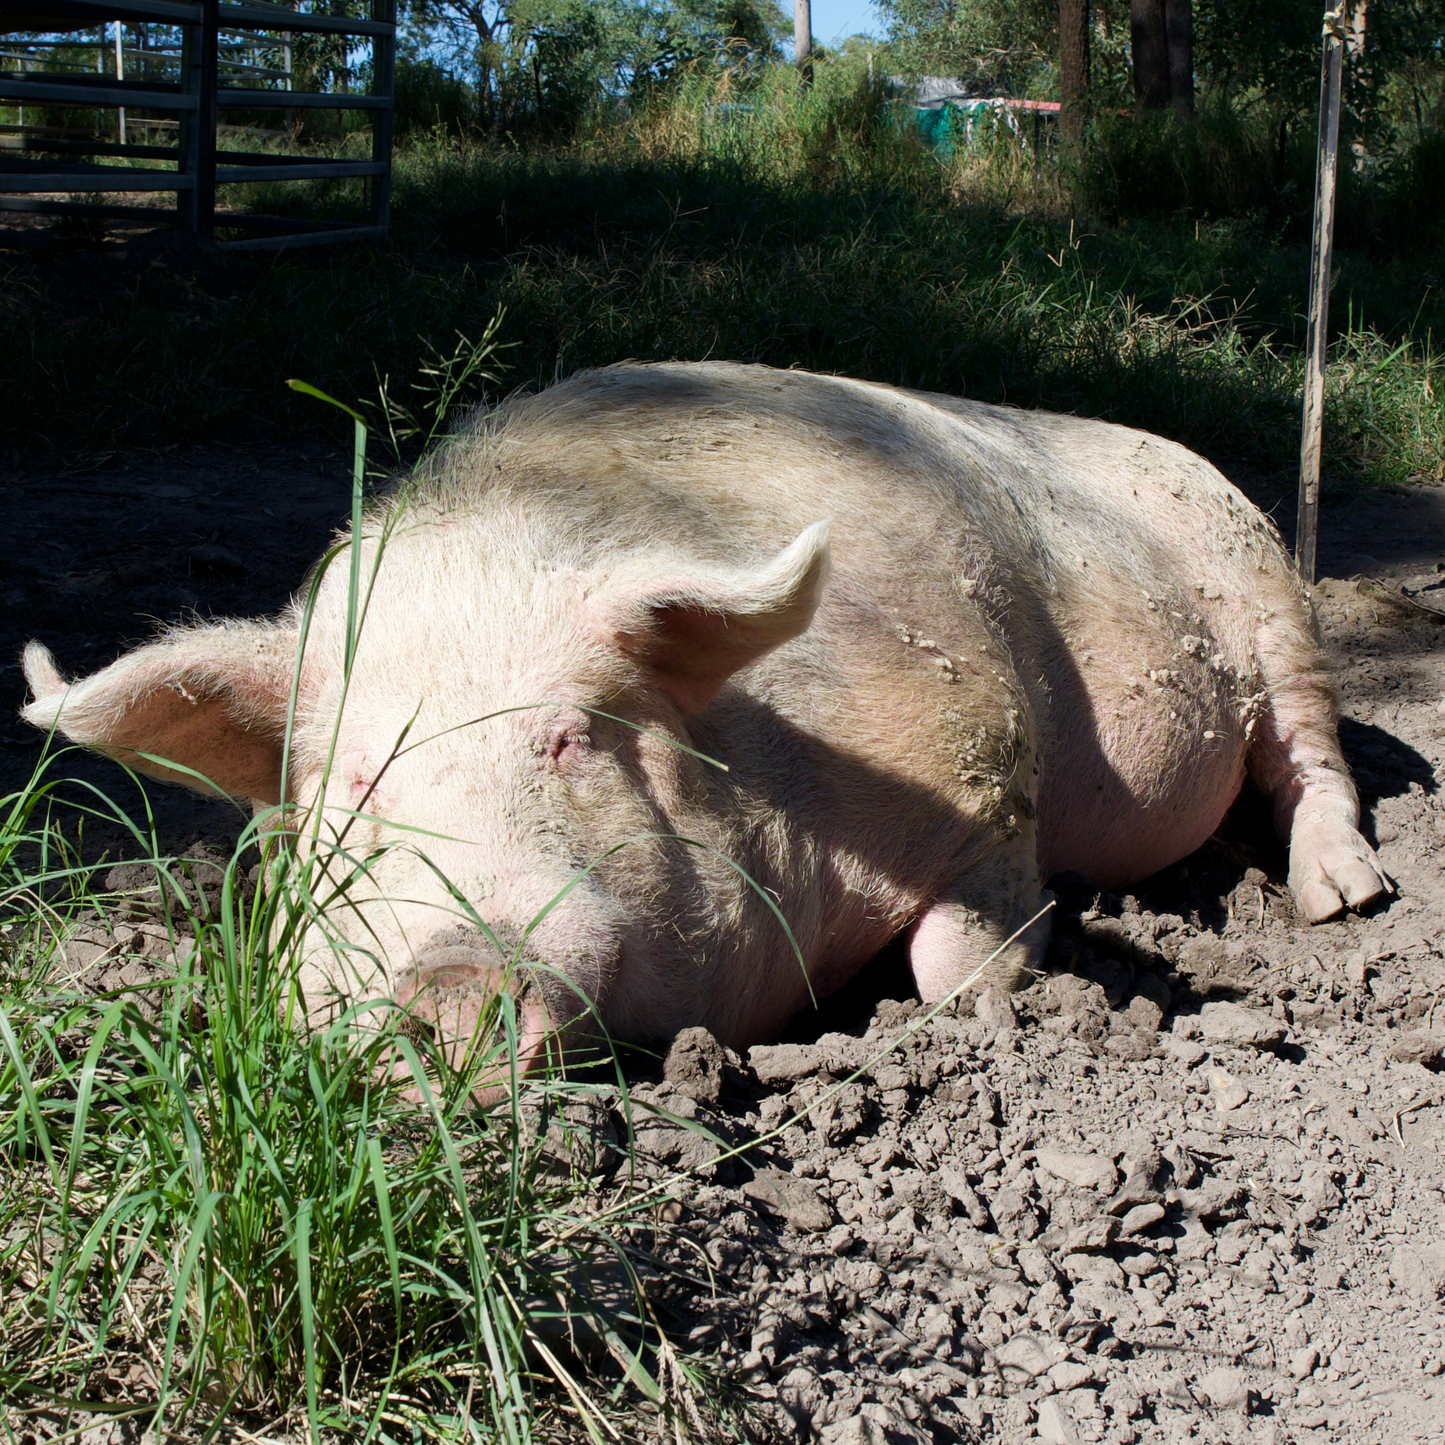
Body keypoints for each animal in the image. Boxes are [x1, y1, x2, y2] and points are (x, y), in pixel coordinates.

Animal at [22, 362, 1388, 1068]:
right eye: (352, 781)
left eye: (575, 737)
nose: (458, 977)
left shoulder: (985, 773)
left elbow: (964, 957)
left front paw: (995, 1015)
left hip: (1269, 595)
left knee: (1310, 756)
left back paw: (1344, 900)